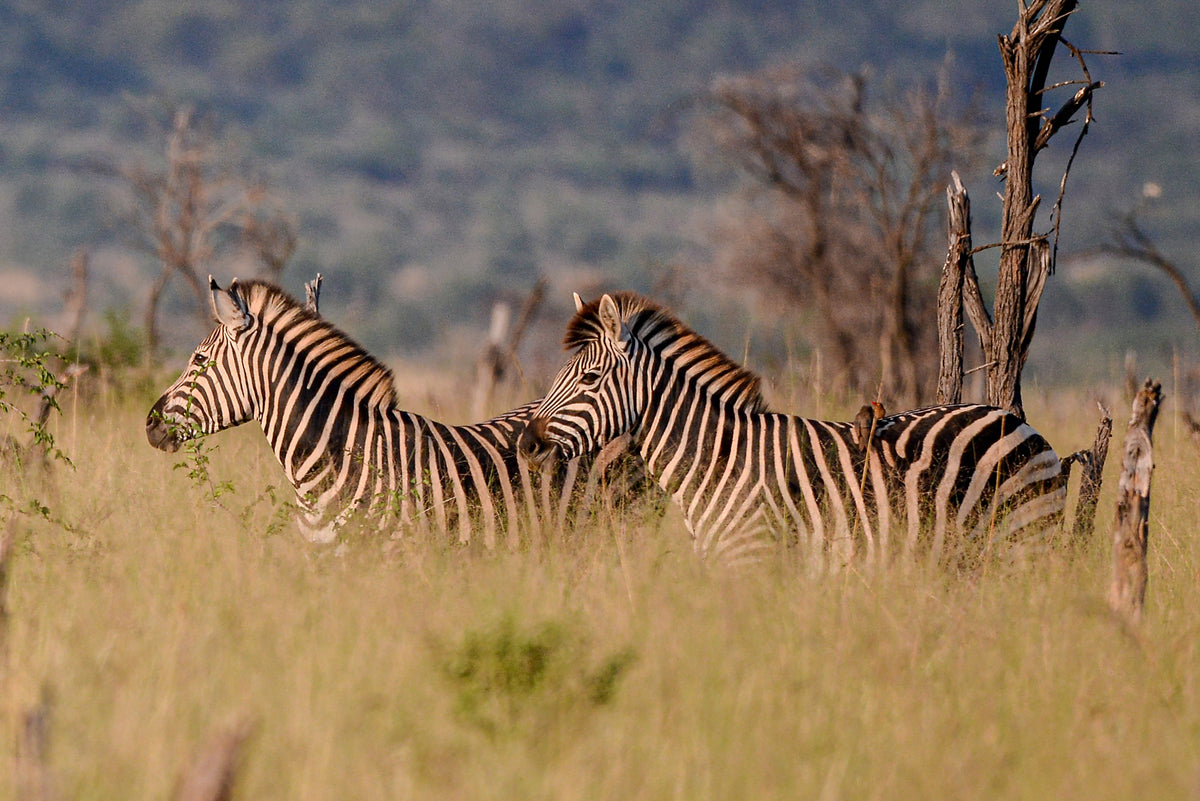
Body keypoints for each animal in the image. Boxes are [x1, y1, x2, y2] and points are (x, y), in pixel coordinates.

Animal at [518, 291, 1067, 569]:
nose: (526, 444)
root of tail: (1017, 420)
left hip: (1023, 540)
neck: (717, 464)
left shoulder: (754, 560)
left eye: (589, 379)